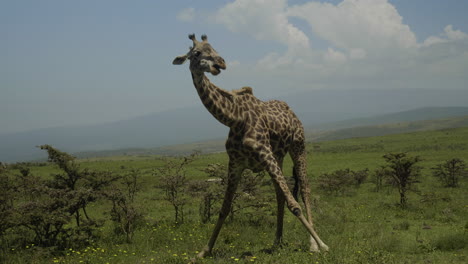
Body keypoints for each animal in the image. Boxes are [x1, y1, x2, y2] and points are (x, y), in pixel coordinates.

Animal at [172, 33, 330, 258]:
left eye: (214, 48)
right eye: (196, 53)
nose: (220, 63)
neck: (233, 118)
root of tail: (291, 111)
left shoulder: (264, 153)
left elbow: (294, 204)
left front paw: (322, 245)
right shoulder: (236, 163)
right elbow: (224, 208)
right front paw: (204, 251)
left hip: (298, 146)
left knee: (305, 189)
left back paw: (312, 244)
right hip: (278, 156)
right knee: (279, 194)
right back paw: (277, 241)